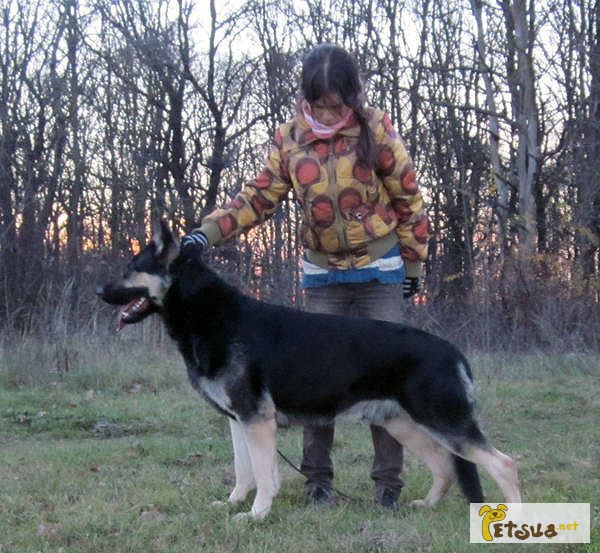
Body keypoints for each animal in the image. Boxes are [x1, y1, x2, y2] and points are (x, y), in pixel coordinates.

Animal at [97, 222, 520, 520]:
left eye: (131, 268)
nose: (99, 292)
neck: (207, 314)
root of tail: (453, 351)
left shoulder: (257, 422)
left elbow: (264, 475)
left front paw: (257, 515)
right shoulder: (238, 422)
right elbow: (243, 471)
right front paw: (234, 504)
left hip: (444, 423)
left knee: (503, 464)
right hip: (403, 425)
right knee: (445, 468)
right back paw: (427, 506)